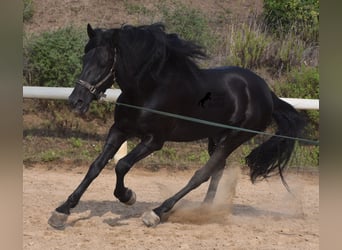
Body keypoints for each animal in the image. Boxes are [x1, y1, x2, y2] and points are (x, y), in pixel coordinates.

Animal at [47, 23, 304, 229]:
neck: (148, 90)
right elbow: (96, 166)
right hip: (216, 137)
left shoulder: (154, 140)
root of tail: (268, 93)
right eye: (84, 59)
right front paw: (62, 211)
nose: (76, 101)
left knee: (202, 174)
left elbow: (121, 165)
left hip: (234, 138)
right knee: (217, 170)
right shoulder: (119, 130)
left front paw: (127, 196)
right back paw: (203, 211)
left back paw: (157, 212)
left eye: (103, 61)